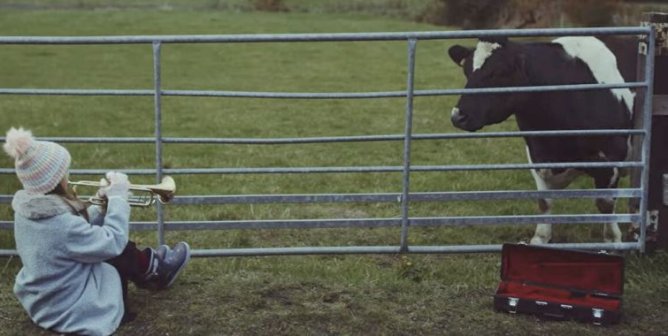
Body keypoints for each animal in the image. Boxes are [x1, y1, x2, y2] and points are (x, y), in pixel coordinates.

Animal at [448, 34, 636, 244]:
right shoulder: (536, 156)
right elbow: (544, 201)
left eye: (498, 72)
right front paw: (540, 237)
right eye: (466, 72)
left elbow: (605, 203)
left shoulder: (611, 158)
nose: (458, 116)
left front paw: (613, 240)